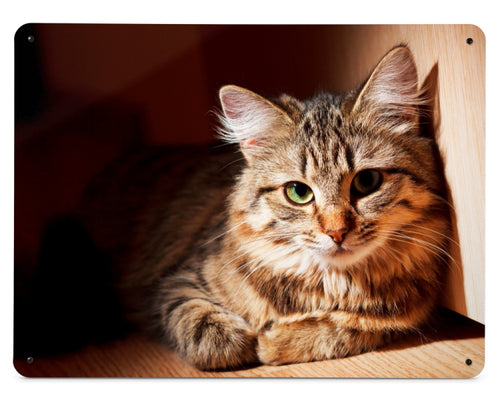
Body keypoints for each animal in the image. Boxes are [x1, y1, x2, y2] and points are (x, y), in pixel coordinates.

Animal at [80, 45, 452, 370]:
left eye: (367, 181)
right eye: (298, 192)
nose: (336, 232)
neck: (333, 283)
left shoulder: (404, 314)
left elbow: (348, 330)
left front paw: (275, 341)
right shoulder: (173, 285)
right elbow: (205, 330)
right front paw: (247, 341)